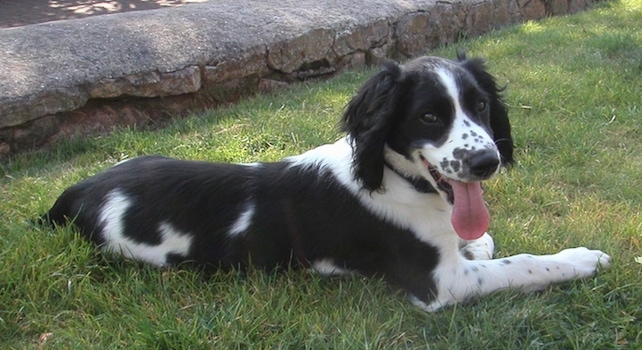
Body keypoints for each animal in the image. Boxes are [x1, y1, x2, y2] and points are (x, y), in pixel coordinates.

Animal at [42, 54, 608, 312]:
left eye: (482, 105)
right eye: (429, 116)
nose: (488, 161)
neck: (396, 179)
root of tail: (73, 193)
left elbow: (482, 242)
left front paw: (478, 240)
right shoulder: (439, 284)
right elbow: (524, 264)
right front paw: (582, 258)